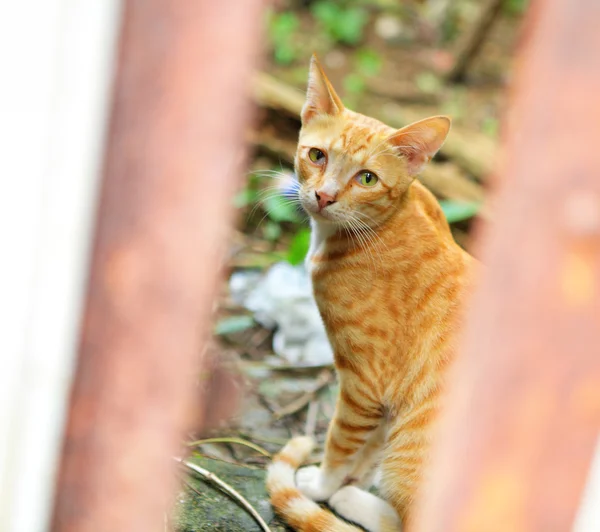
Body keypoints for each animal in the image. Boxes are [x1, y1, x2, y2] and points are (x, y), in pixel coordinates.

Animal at [268, 56, 474, 528]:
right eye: (317, 155)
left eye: (366, 178)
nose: (323, 197)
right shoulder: (387, 401)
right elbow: (369, 446)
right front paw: (356, 478)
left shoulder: (363, 383)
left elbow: (340, 443)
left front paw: (323, 486)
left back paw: (351, 503)